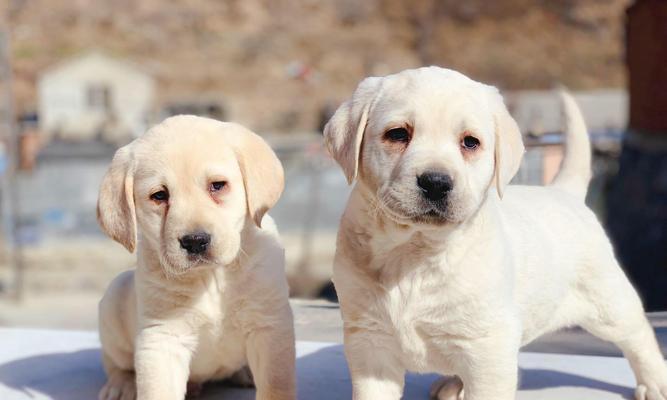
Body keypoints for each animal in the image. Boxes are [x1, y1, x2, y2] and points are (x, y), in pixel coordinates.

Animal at [96, 115, 294, 400]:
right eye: (159, 195)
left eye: (217, 186)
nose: (195, 241)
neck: (212, 278)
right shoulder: (163, 338)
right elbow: (158, 390)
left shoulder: (269, 326)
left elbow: (276, 384)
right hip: (114, 298)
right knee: (116, 363)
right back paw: (121, 385)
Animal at [324, 66, 667, 400]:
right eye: (397, 134)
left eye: (470, 142)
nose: (436, 182)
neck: (416, 251)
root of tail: (563, 191)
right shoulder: (370, 344)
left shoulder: (488, 348)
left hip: (607, 302)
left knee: (638, 334)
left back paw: (656, 382)